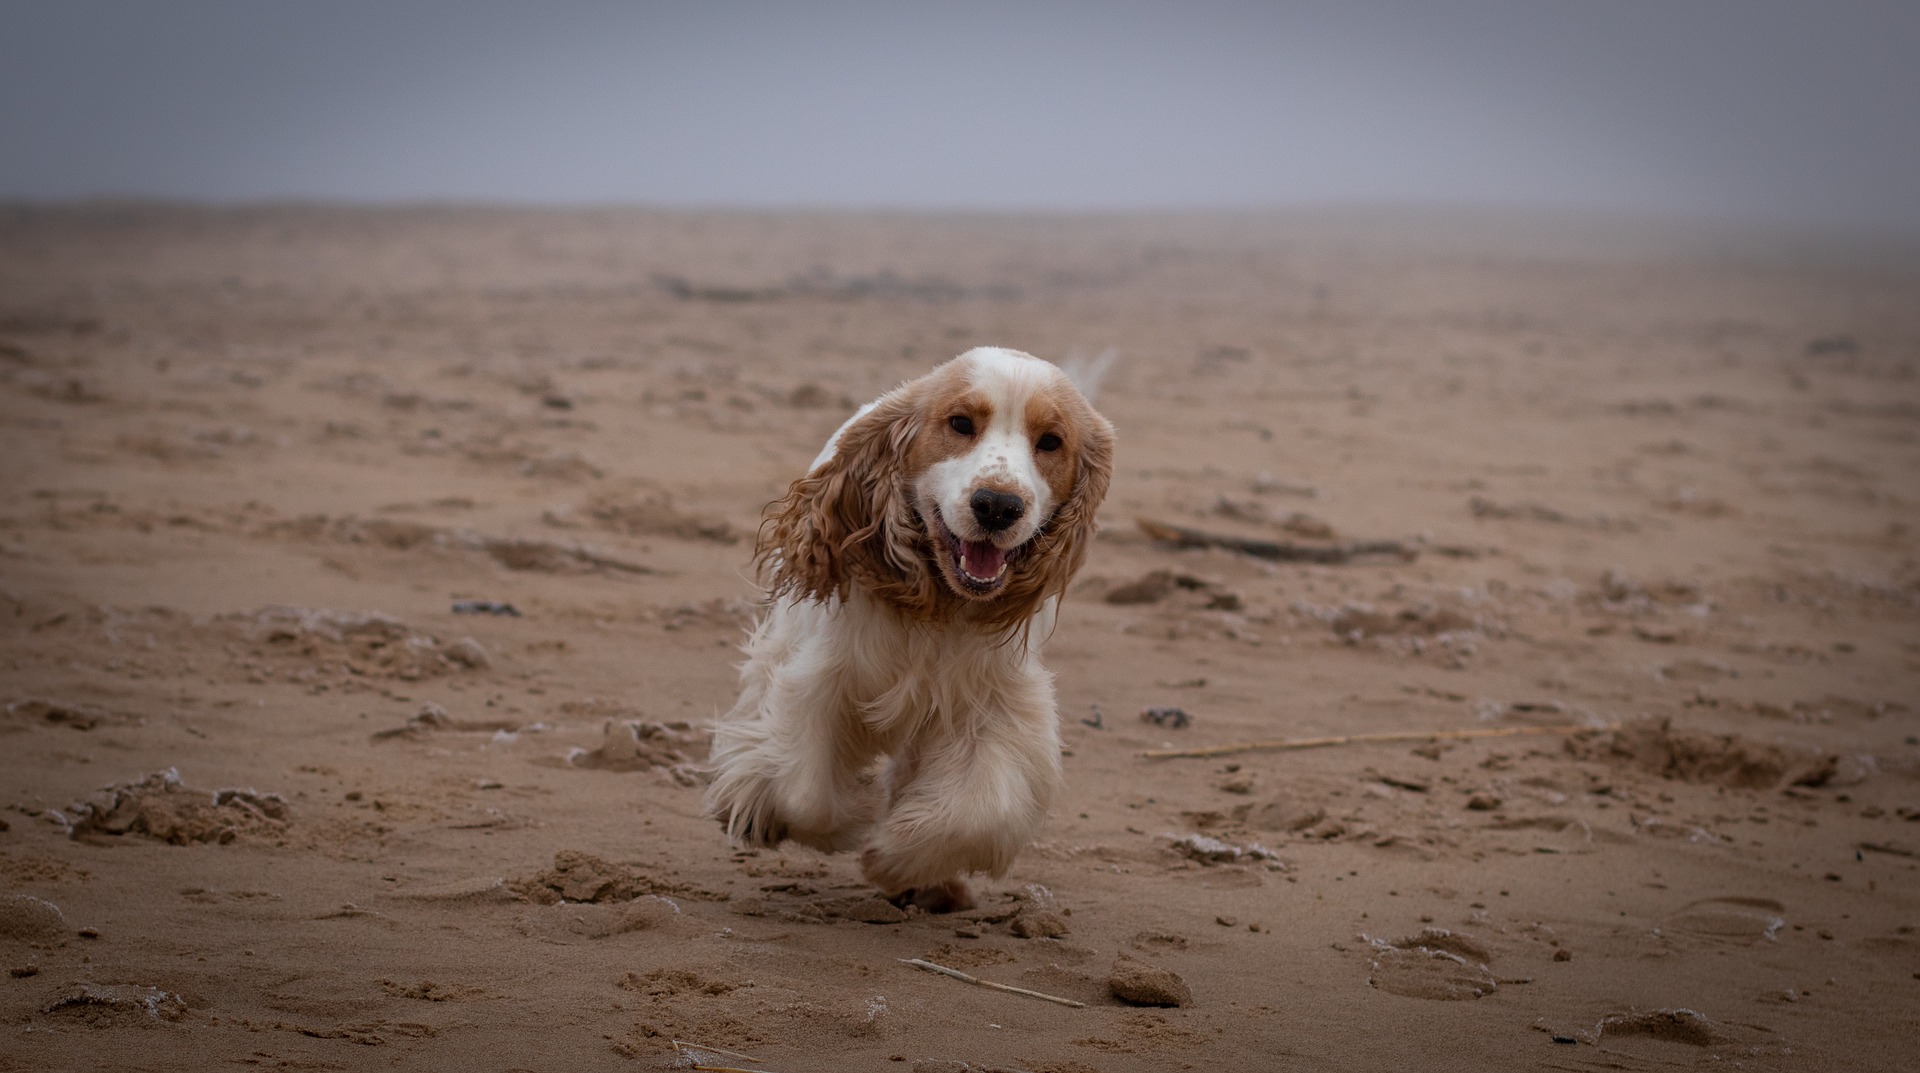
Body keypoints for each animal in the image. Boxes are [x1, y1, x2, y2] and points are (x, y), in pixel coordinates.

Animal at [706, 349, 1121, 909]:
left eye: (1051, 441)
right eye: (961, 423)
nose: (997, 505)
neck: (942, 600)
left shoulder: (995, 705)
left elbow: (978, 815)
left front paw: (894, 859)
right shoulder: (823, 679)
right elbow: (805, 793)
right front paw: (851, 822)